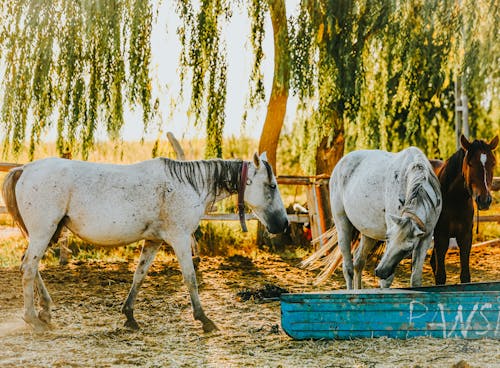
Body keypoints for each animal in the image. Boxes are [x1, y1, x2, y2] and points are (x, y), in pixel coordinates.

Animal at [1, 152, 288, 334]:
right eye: (272, 186)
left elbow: (139, 276)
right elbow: (190, 279)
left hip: (42, 233)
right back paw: (33, 319)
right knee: (28, 268)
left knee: (30, 266)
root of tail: (25, 168)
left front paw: (129, 315)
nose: (283, 224)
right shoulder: (180, 239)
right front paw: (204, 319)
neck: (188, 184)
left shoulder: (153, 241)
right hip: (43, 232)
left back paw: (45, 312)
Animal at [332, 148, 442, 288]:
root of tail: (341, 162)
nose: (380, 271)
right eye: (388, 237)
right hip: (342, 225)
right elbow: (386, 281)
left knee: (358, 262)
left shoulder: (426, 238)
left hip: (369, 233)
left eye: (409, 249)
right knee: (348, 268)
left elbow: (416, 279)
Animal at [430, 134, 496, 284]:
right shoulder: (441, 237)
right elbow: (440, 276)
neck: (455, 199)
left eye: (493, 163)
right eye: (470, 163)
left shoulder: (465, 237)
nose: (485, 200)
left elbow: (465, 276)